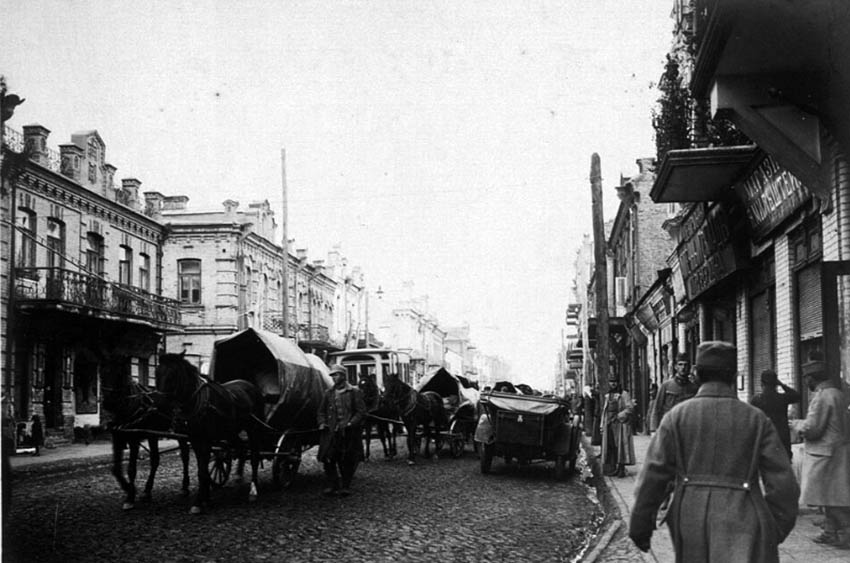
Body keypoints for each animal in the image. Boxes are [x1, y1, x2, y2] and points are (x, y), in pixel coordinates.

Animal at [102, 378, 191, 511]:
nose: (108, 403)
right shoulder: (118, 437)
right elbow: (116, 470)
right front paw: (129, 489)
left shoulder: (134, 440)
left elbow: (131, 469)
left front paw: (130, 497)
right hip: (154, 435)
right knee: (158, 459)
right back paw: (148, 491)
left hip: (176, 431)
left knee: (183, 455)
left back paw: (184, 486)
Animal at [155, 353, 265, 515]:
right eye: (157, 373)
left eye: (172, 375)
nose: (159, 405)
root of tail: (251, 386)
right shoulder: (195, 440)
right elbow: (203, 469)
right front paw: (205, 498)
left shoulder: (205, 441)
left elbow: (202, 470)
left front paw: (198, 501)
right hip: (231, 431)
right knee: (242, 449)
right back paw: (238, 475)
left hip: (254, 429)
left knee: (255, 456)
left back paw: (253, 490)